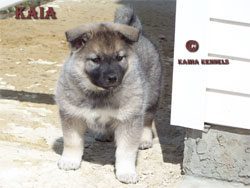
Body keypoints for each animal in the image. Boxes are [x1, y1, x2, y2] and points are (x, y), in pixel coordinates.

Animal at [56, 7, 162, 184]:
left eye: (119, 58)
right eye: (95, 59)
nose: (113, 77)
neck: (100, 93)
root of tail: (140, 33)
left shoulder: (129, 119)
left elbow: (126, 151)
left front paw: (126, 172)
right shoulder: (72, 115)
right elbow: (72, 142)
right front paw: (70, 160)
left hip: (151, 96)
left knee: (147, 120)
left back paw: (145, 139)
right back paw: (104, 134)